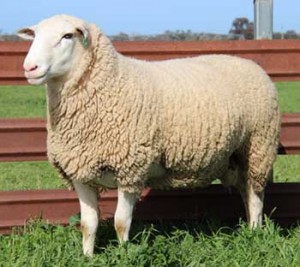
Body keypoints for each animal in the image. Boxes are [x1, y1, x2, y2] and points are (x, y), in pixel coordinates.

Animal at [17, 14, 282, 258]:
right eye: (35, 35)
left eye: (67, 36)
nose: (29, 68)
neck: (110, 83)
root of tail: (251, 63)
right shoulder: (80, 171)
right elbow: (87, 224)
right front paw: (87, 257)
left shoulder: (130, 169)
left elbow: (121, 223)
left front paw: (125, 255)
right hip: (236, 155)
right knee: (246, 190)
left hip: (258, 145)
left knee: (256, 194)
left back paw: (255, 233)